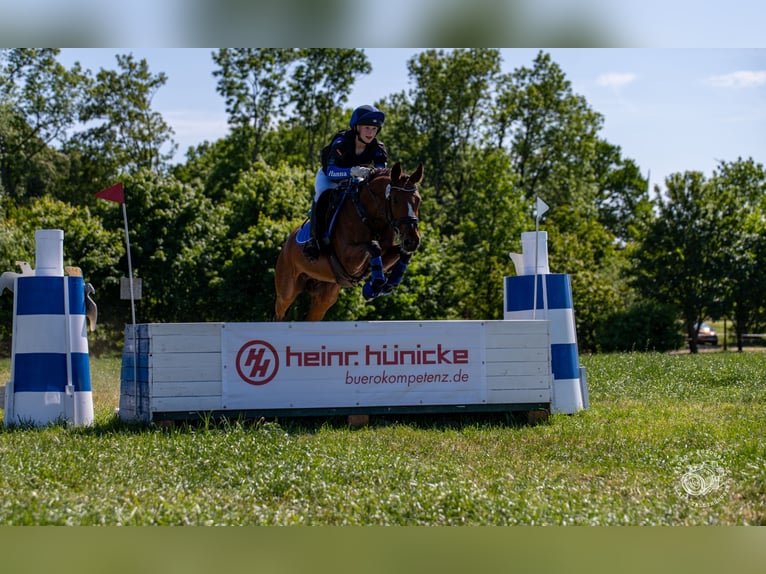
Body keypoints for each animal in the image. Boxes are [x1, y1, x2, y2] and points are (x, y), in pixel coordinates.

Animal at [274, 162, 426, 322]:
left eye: (418, 200)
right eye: (395, 200)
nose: (412, 241)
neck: (368, 214)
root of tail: (286, 245)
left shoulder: (386, 253)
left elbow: (402, 253)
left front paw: (388, 285)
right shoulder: (348, 260)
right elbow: (374, 246)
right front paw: (373, 287)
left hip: (324, 296)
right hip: (287, 290)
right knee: (279, 314)